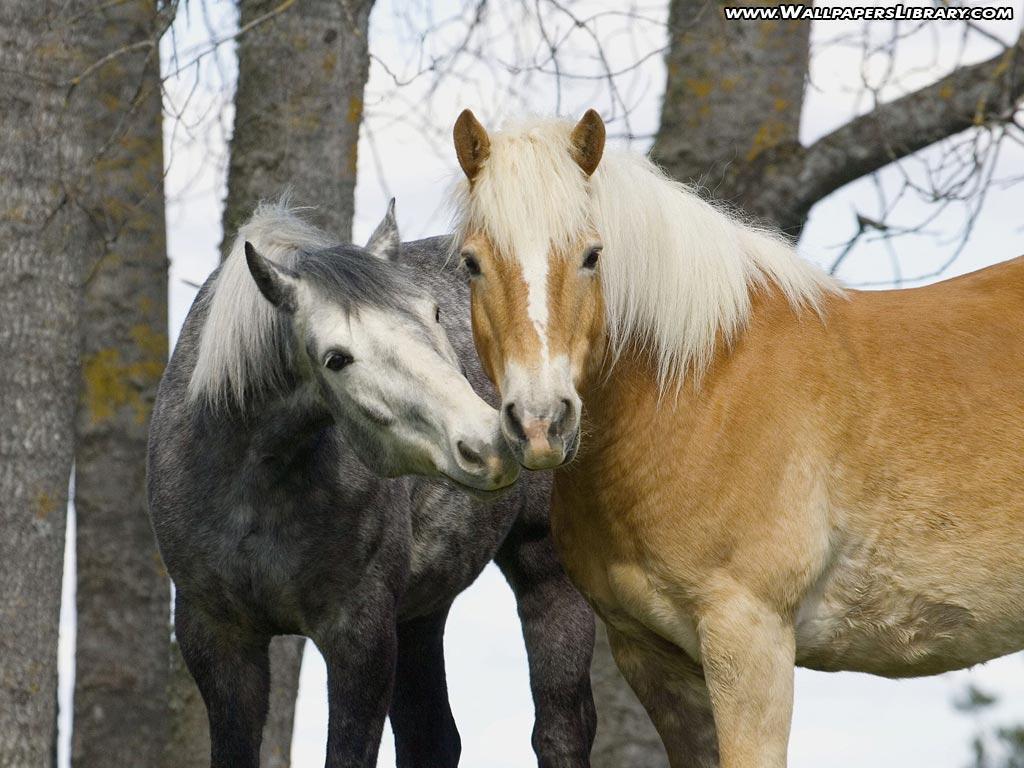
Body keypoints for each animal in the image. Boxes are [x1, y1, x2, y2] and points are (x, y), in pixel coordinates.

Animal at [147, 201, 596, 768]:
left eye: (435, 314)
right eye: (336, 358)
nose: (489, 444)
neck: (253, 485)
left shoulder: (360, 637)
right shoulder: (218, 639)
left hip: (546, 573)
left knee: (560, 731)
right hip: (422, 610)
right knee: (433, 736)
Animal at [447, 109, 1024, 768]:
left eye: (592, 255)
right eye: (471, 263)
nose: (541, 421)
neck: (700, 386)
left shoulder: (749, 639)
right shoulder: (653, 659)